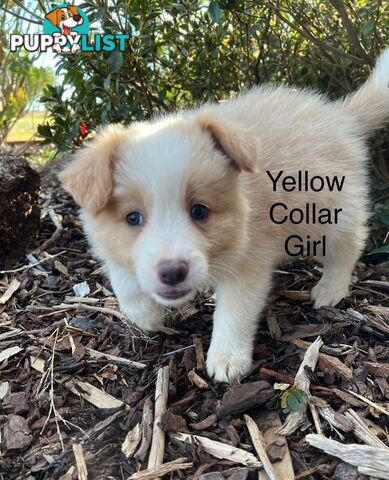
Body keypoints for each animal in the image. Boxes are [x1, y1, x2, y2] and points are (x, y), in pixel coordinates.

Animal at [59, 49, 388, 382]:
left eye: (199, 211)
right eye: (133, 218)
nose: (172, 272)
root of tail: (340, 116)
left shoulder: (248, 265)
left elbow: (234, 314)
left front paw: (228, 359)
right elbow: (121, 273)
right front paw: (145, 314)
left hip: (330, 214)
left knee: (348, 245)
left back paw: (331, 289)